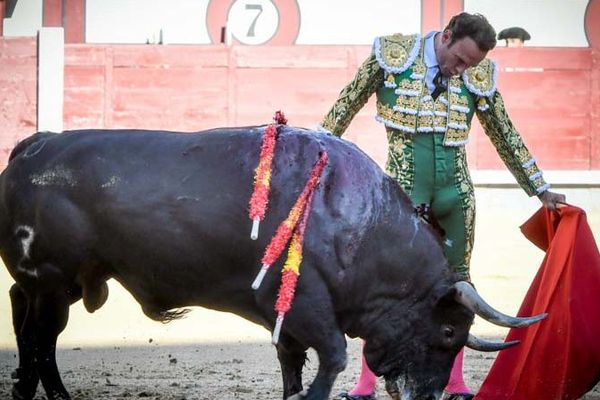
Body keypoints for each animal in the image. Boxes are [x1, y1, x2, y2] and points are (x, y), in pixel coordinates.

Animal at [0, 126, 544, 398]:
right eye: (450, 332)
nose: (428, 396)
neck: (355, 219)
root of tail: (30, 147)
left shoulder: (284, 315)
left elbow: (291, 362)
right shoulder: (306, 302)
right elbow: (333, 357)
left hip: (56, 284)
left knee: (21, 315)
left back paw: (24, 389)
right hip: (52, 282)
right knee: (41, 339)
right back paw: (55, 395)